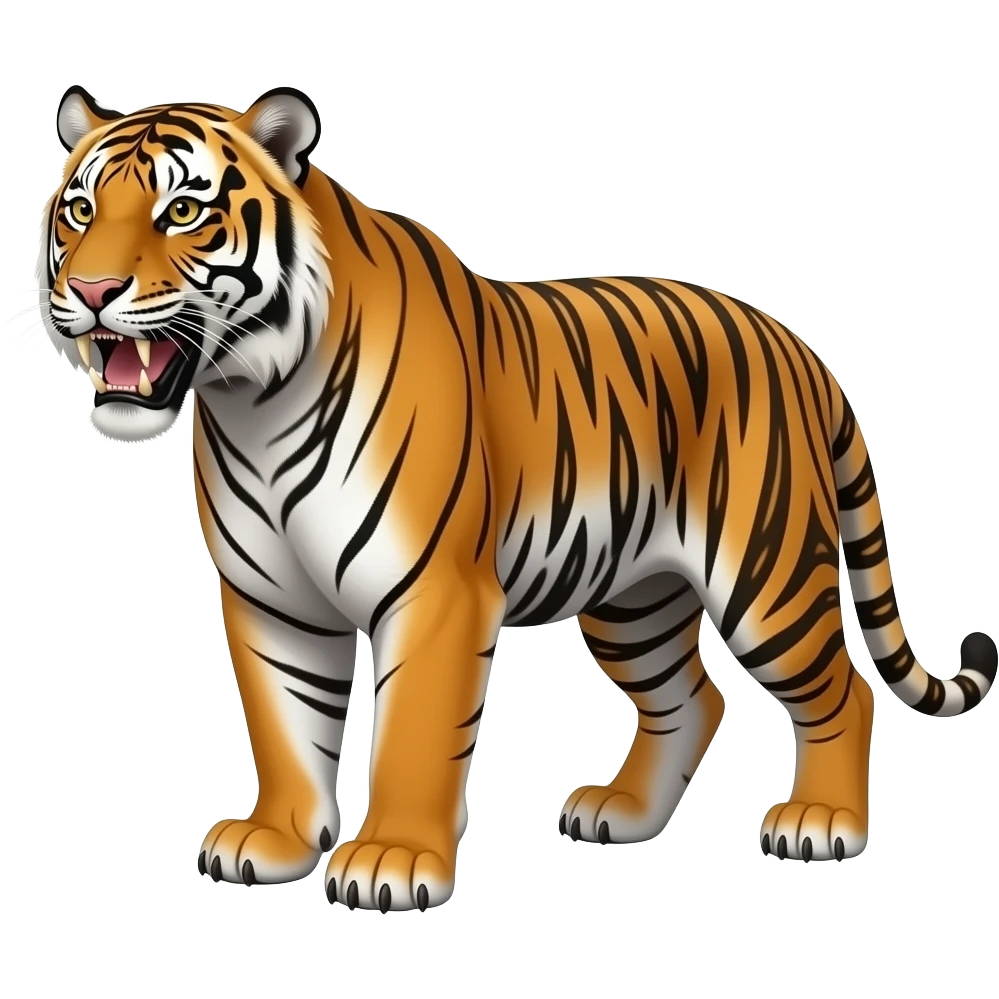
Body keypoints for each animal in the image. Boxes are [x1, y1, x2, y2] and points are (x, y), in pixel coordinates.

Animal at [31, 83, 996, 910]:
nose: (90, 291)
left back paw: (822, 823)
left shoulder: (433, 590)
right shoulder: (270, 598)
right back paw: (621, 814)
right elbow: (285, 723)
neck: (250, 399)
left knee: (841, 691)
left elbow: (414, 731)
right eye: (79, 211)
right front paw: (274, 841)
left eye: (182, 211)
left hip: (765, 578)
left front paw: (390, 861)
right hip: (633, 597)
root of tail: (797, 346)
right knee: (692, 699)